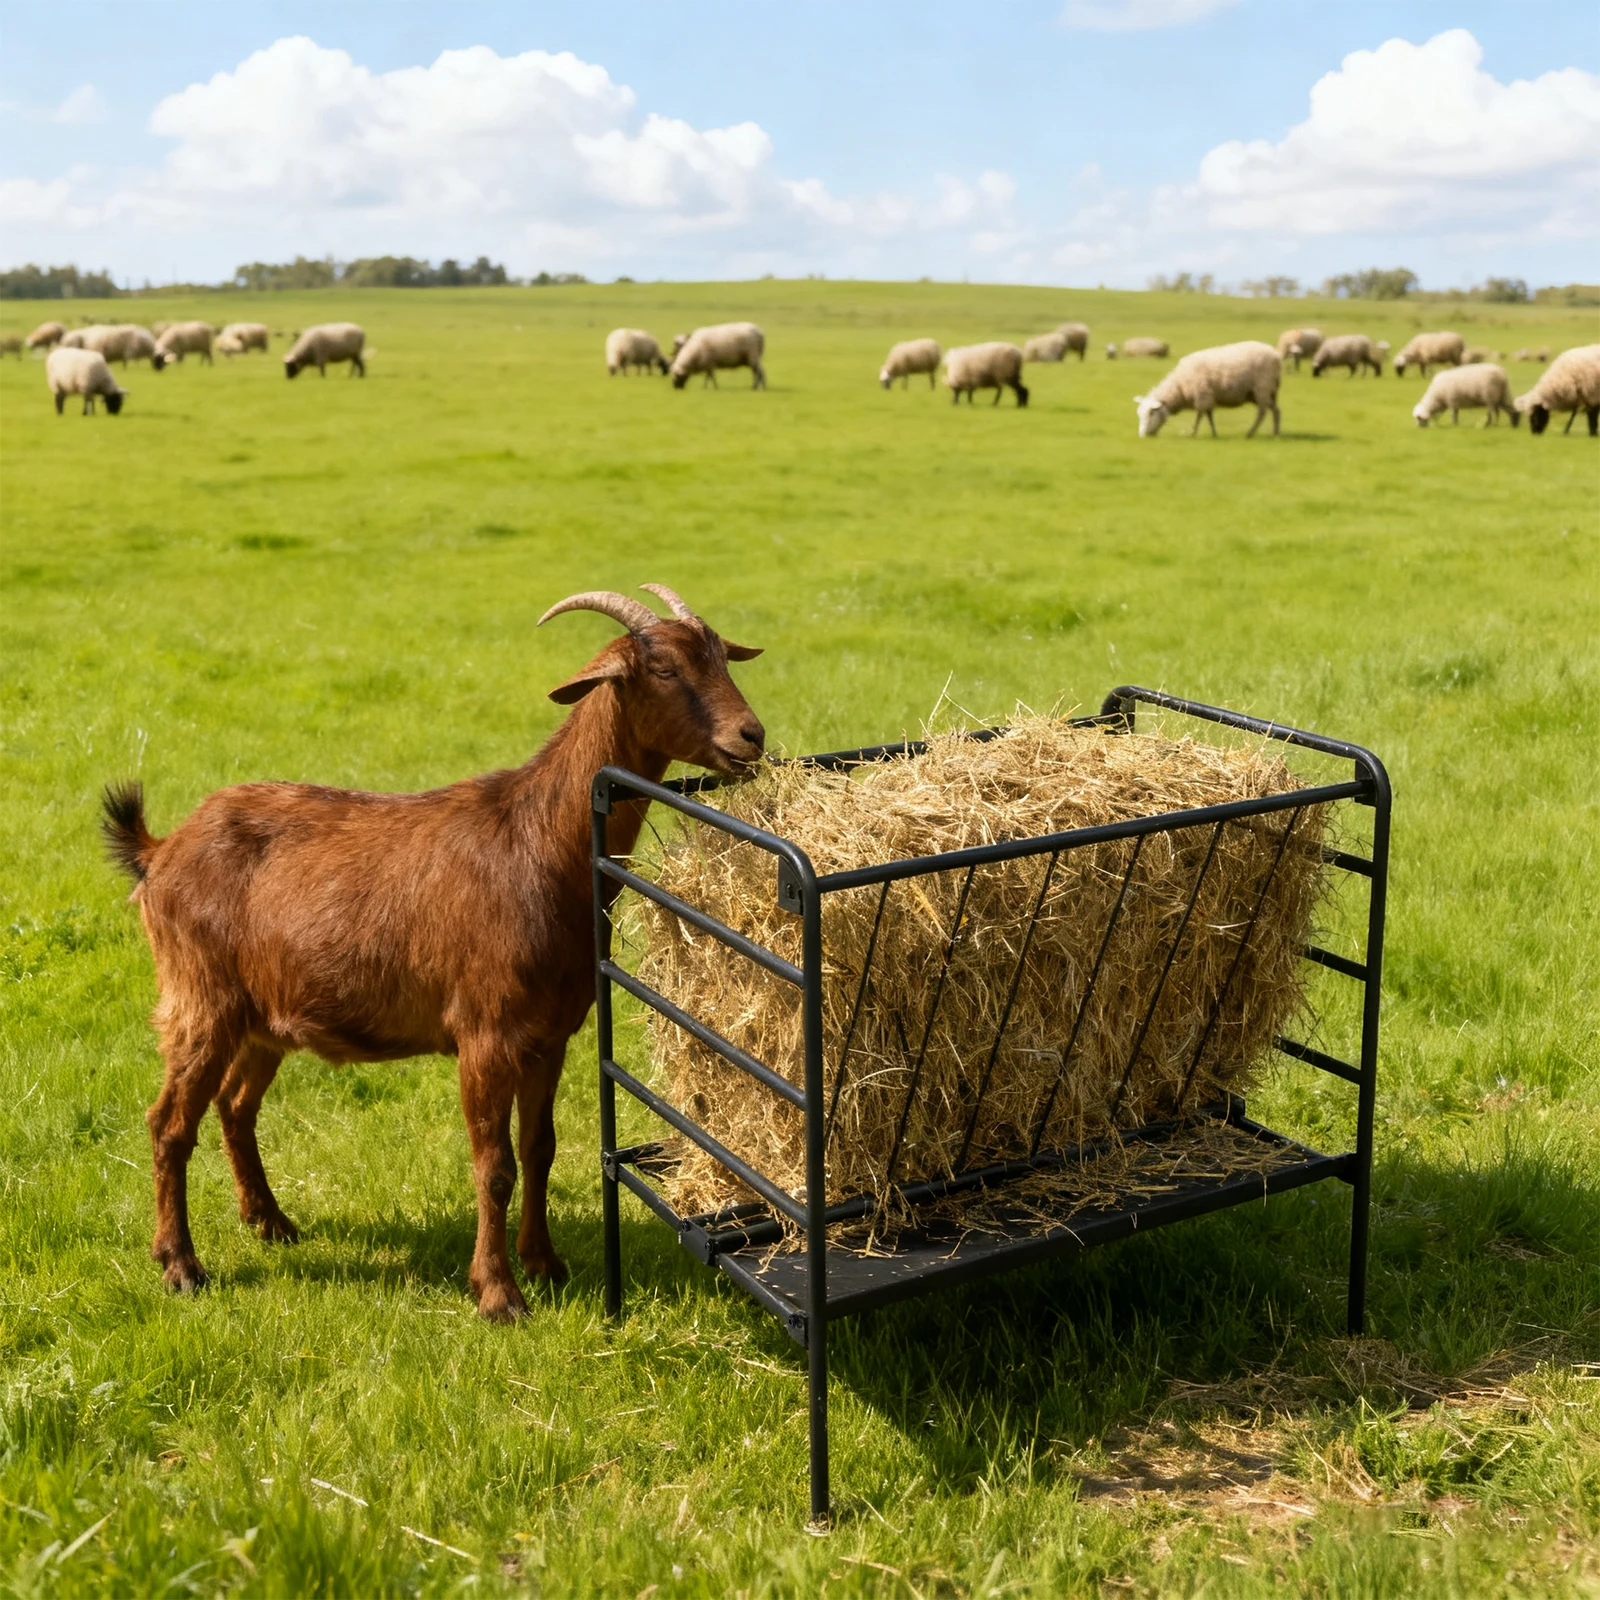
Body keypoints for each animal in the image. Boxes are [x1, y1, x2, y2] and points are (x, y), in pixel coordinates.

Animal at [102, 585, 765, 1322]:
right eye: (665, 670)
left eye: (721, 654)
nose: (751, 736)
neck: (537, 844)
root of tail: (160, 851)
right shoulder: (484, 1032)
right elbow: (494, 1165)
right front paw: (498, 1293)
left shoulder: (550, 1034)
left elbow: (539, 1148)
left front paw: (546, 1264)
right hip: (199, 998)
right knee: (169, 1123)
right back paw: (180, 1265)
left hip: (262, 1016)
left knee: (235, 1105)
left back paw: (270, 1222)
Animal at [1135, 340, 1280, 438]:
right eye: (1140, 414)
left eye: (1151, 413)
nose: (1142, 435)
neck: (1179, 387)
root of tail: (1275, 354)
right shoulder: (1208, 396)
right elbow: (1209, 416)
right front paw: (1214, 433)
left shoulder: (1202, 395)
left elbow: (1200, 416)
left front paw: (1193, 433)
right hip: (1265, 392)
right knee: (1276, 410)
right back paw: (1275, 432)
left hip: (1262, 388)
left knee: (1262, 413)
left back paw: (1250, 433)